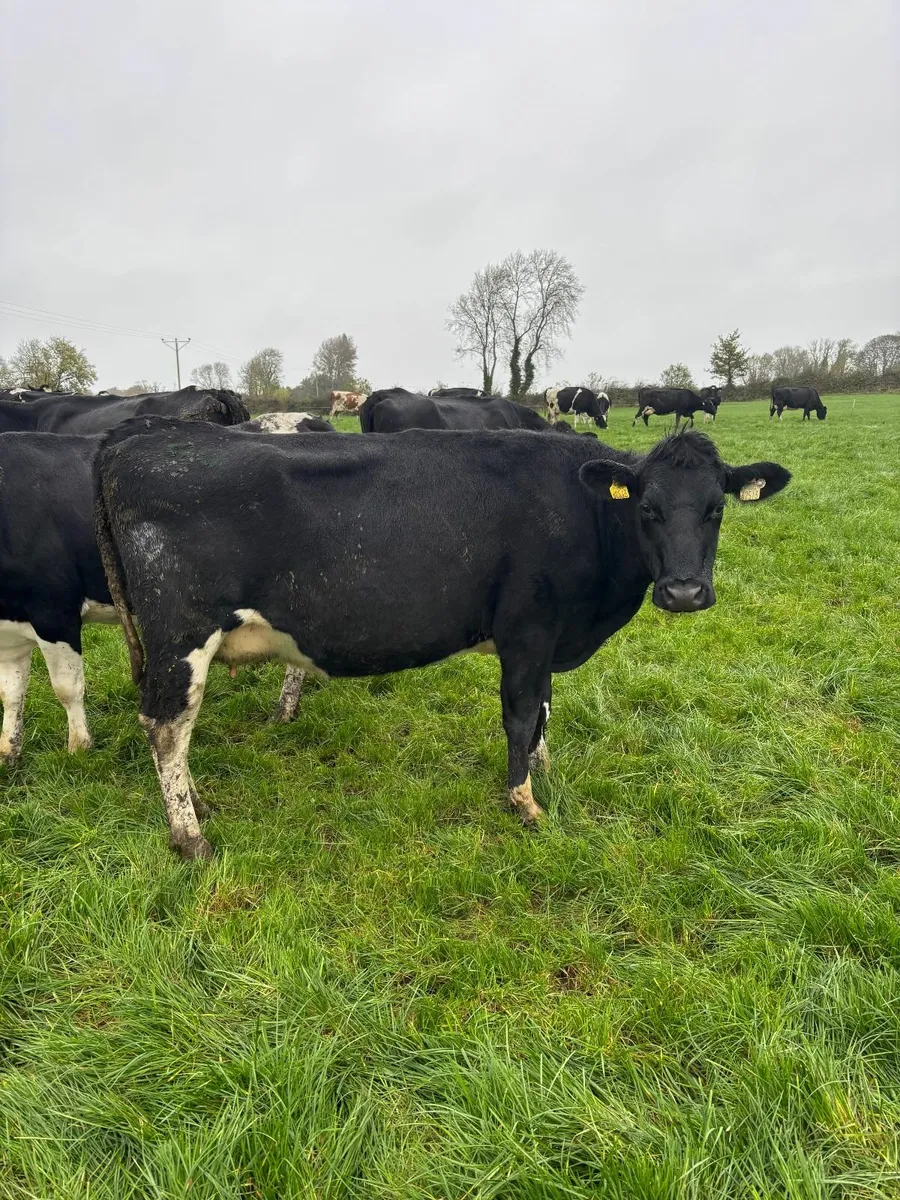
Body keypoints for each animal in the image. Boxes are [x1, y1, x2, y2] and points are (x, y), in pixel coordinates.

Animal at [95, 422, 791, 859]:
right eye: (646, 508)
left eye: (717, 509)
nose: (684, 592)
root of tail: (139, 440)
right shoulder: (527, 630)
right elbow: (521, 715)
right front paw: (524, 802)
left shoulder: (548, 640)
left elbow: (544, 712)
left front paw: (544, 772)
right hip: (180, 635)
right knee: (166, 724)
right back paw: (190, 838)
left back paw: (196, 803)